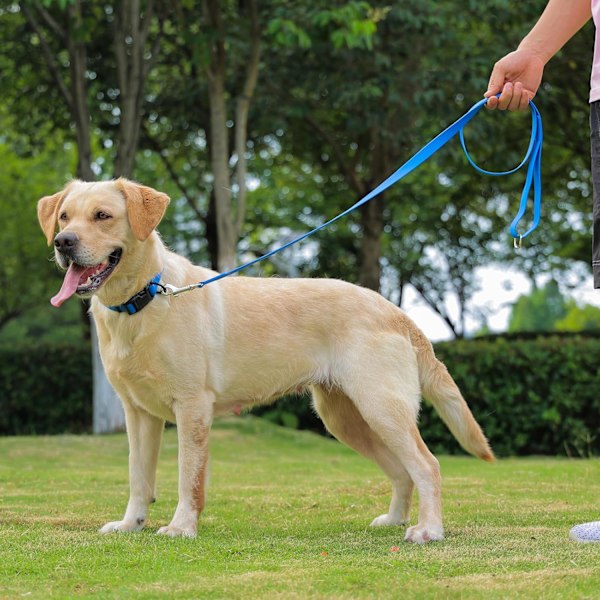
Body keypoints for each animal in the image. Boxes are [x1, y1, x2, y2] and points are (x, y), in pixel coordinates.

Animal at [37, 178, 492, 544]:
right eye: (64, 217)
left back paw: (428, 530)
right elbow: (138, 477)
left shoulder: (192, 407)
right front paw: (131, 524)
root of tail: (395, 311)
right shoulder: (138, 413)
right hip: (348, 418)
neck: (143, 299)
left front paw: (182, 527)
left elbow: (188, 478)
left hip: (382, 408)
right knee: (402, 471)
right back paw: (395, 520)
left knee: (427, 466)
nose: (63, 243)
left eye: (103, 216)